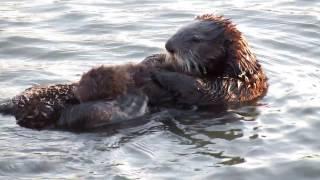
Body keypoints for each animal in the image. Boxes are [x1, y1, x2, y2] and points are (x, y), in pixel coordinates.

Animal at [0, 13, 268, 129]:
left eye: (195, 38)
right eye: (178, 29)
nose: (169, 45)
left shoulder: (236, 87)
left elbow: (199, 89)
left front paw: (155, 72)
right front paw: (152, 60)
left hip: (78, 113)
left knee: (80, 116)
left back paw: (130, 103)